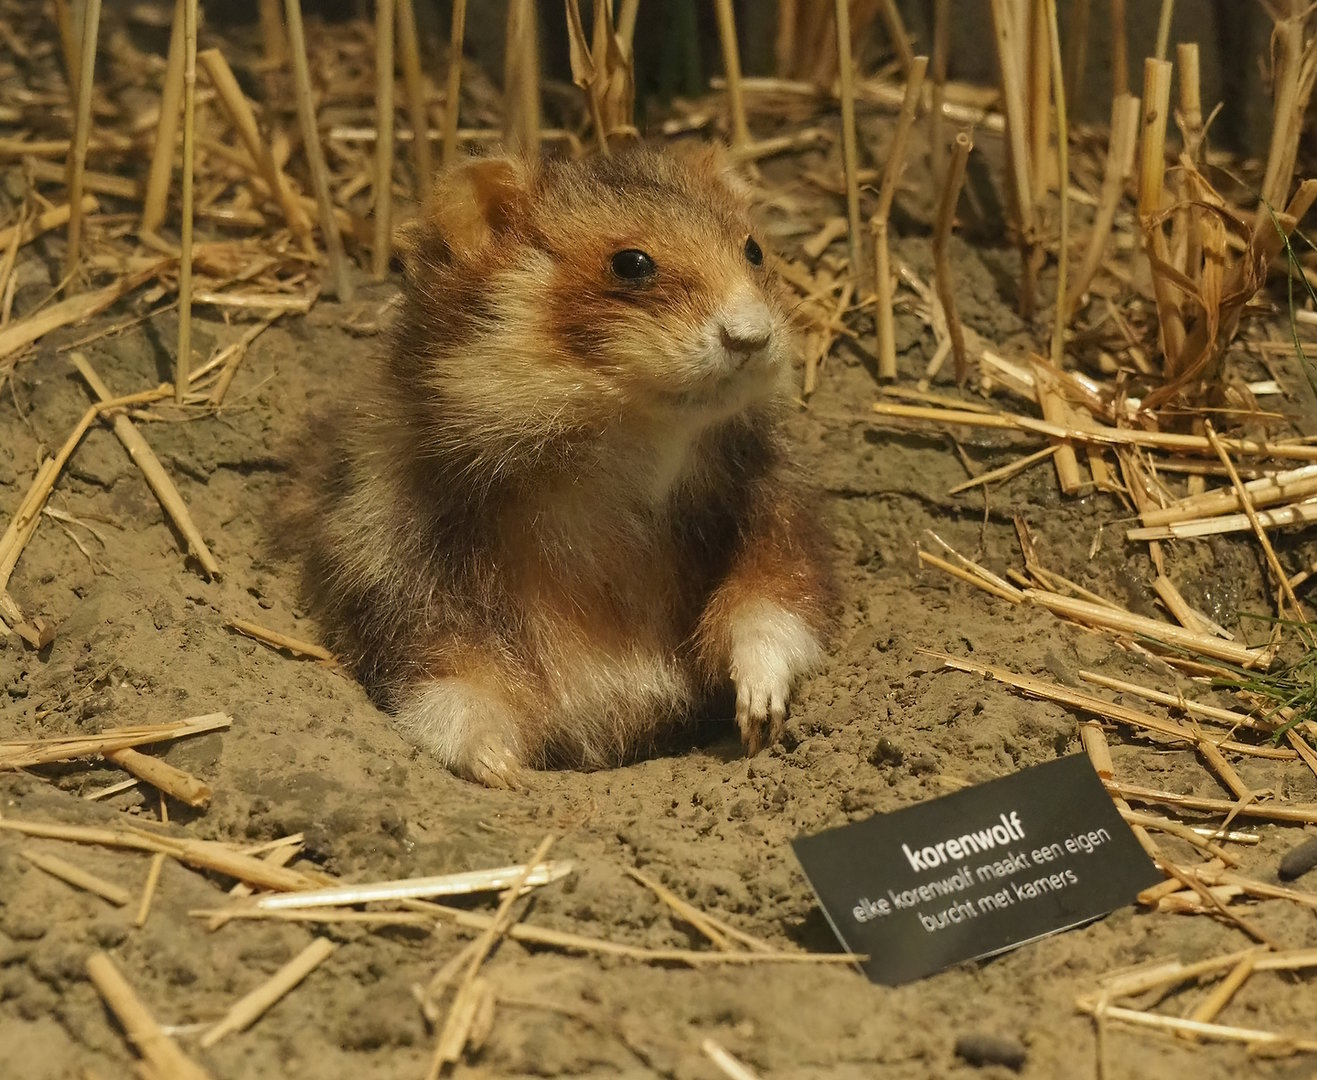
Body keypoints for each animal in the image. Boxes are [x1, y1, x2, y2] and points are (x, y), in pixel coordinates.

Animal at [283, 145, 833, 788]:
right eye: (631, 264)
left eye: (754, 250)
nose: (752, 337)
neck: (622, 450)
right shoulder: (404, 584)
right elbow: (452, 691)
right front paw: (506, 773)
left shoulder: (774, 524)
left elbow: (767, 613)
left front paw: (758, 723)